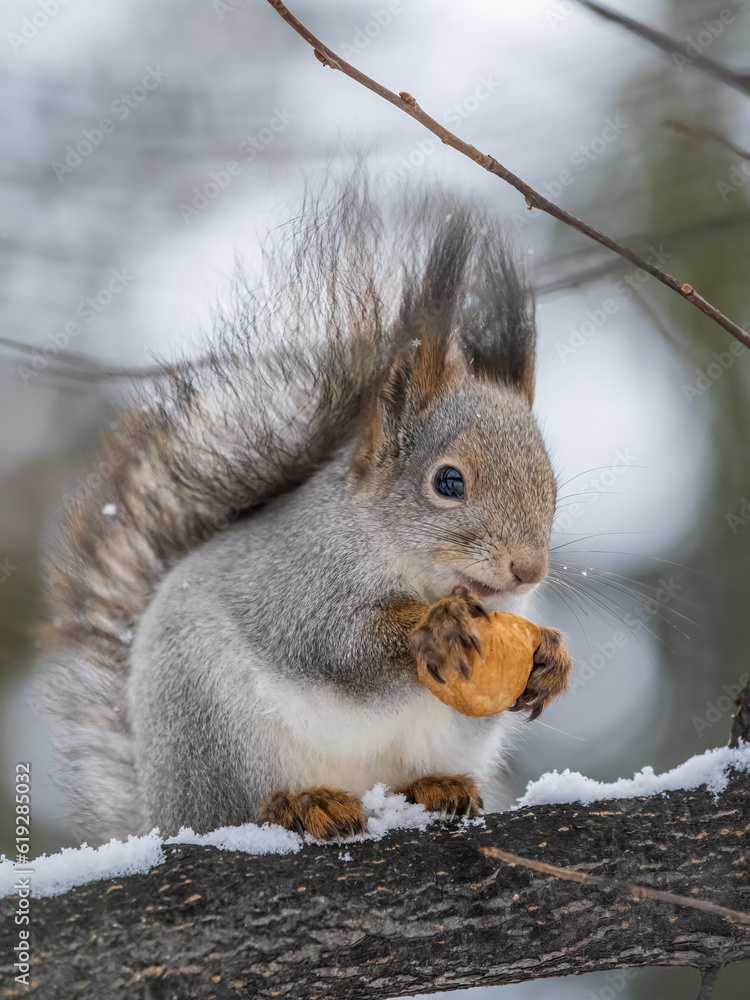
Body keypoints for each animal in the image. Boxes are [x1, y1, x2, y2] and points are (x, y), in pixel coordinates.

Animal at [37, 186, 572, 842]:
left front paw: (551, 659)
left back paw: (435, 787)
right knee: (241, 807)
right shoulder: (298, 577)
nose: (528, 571)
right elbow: (331, 642)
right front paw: (433, 626)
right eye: (448, 482)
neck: (401, 557)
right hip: (210, 723)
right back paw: (300, 804)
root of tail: (162, 814)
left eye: (551, 484)